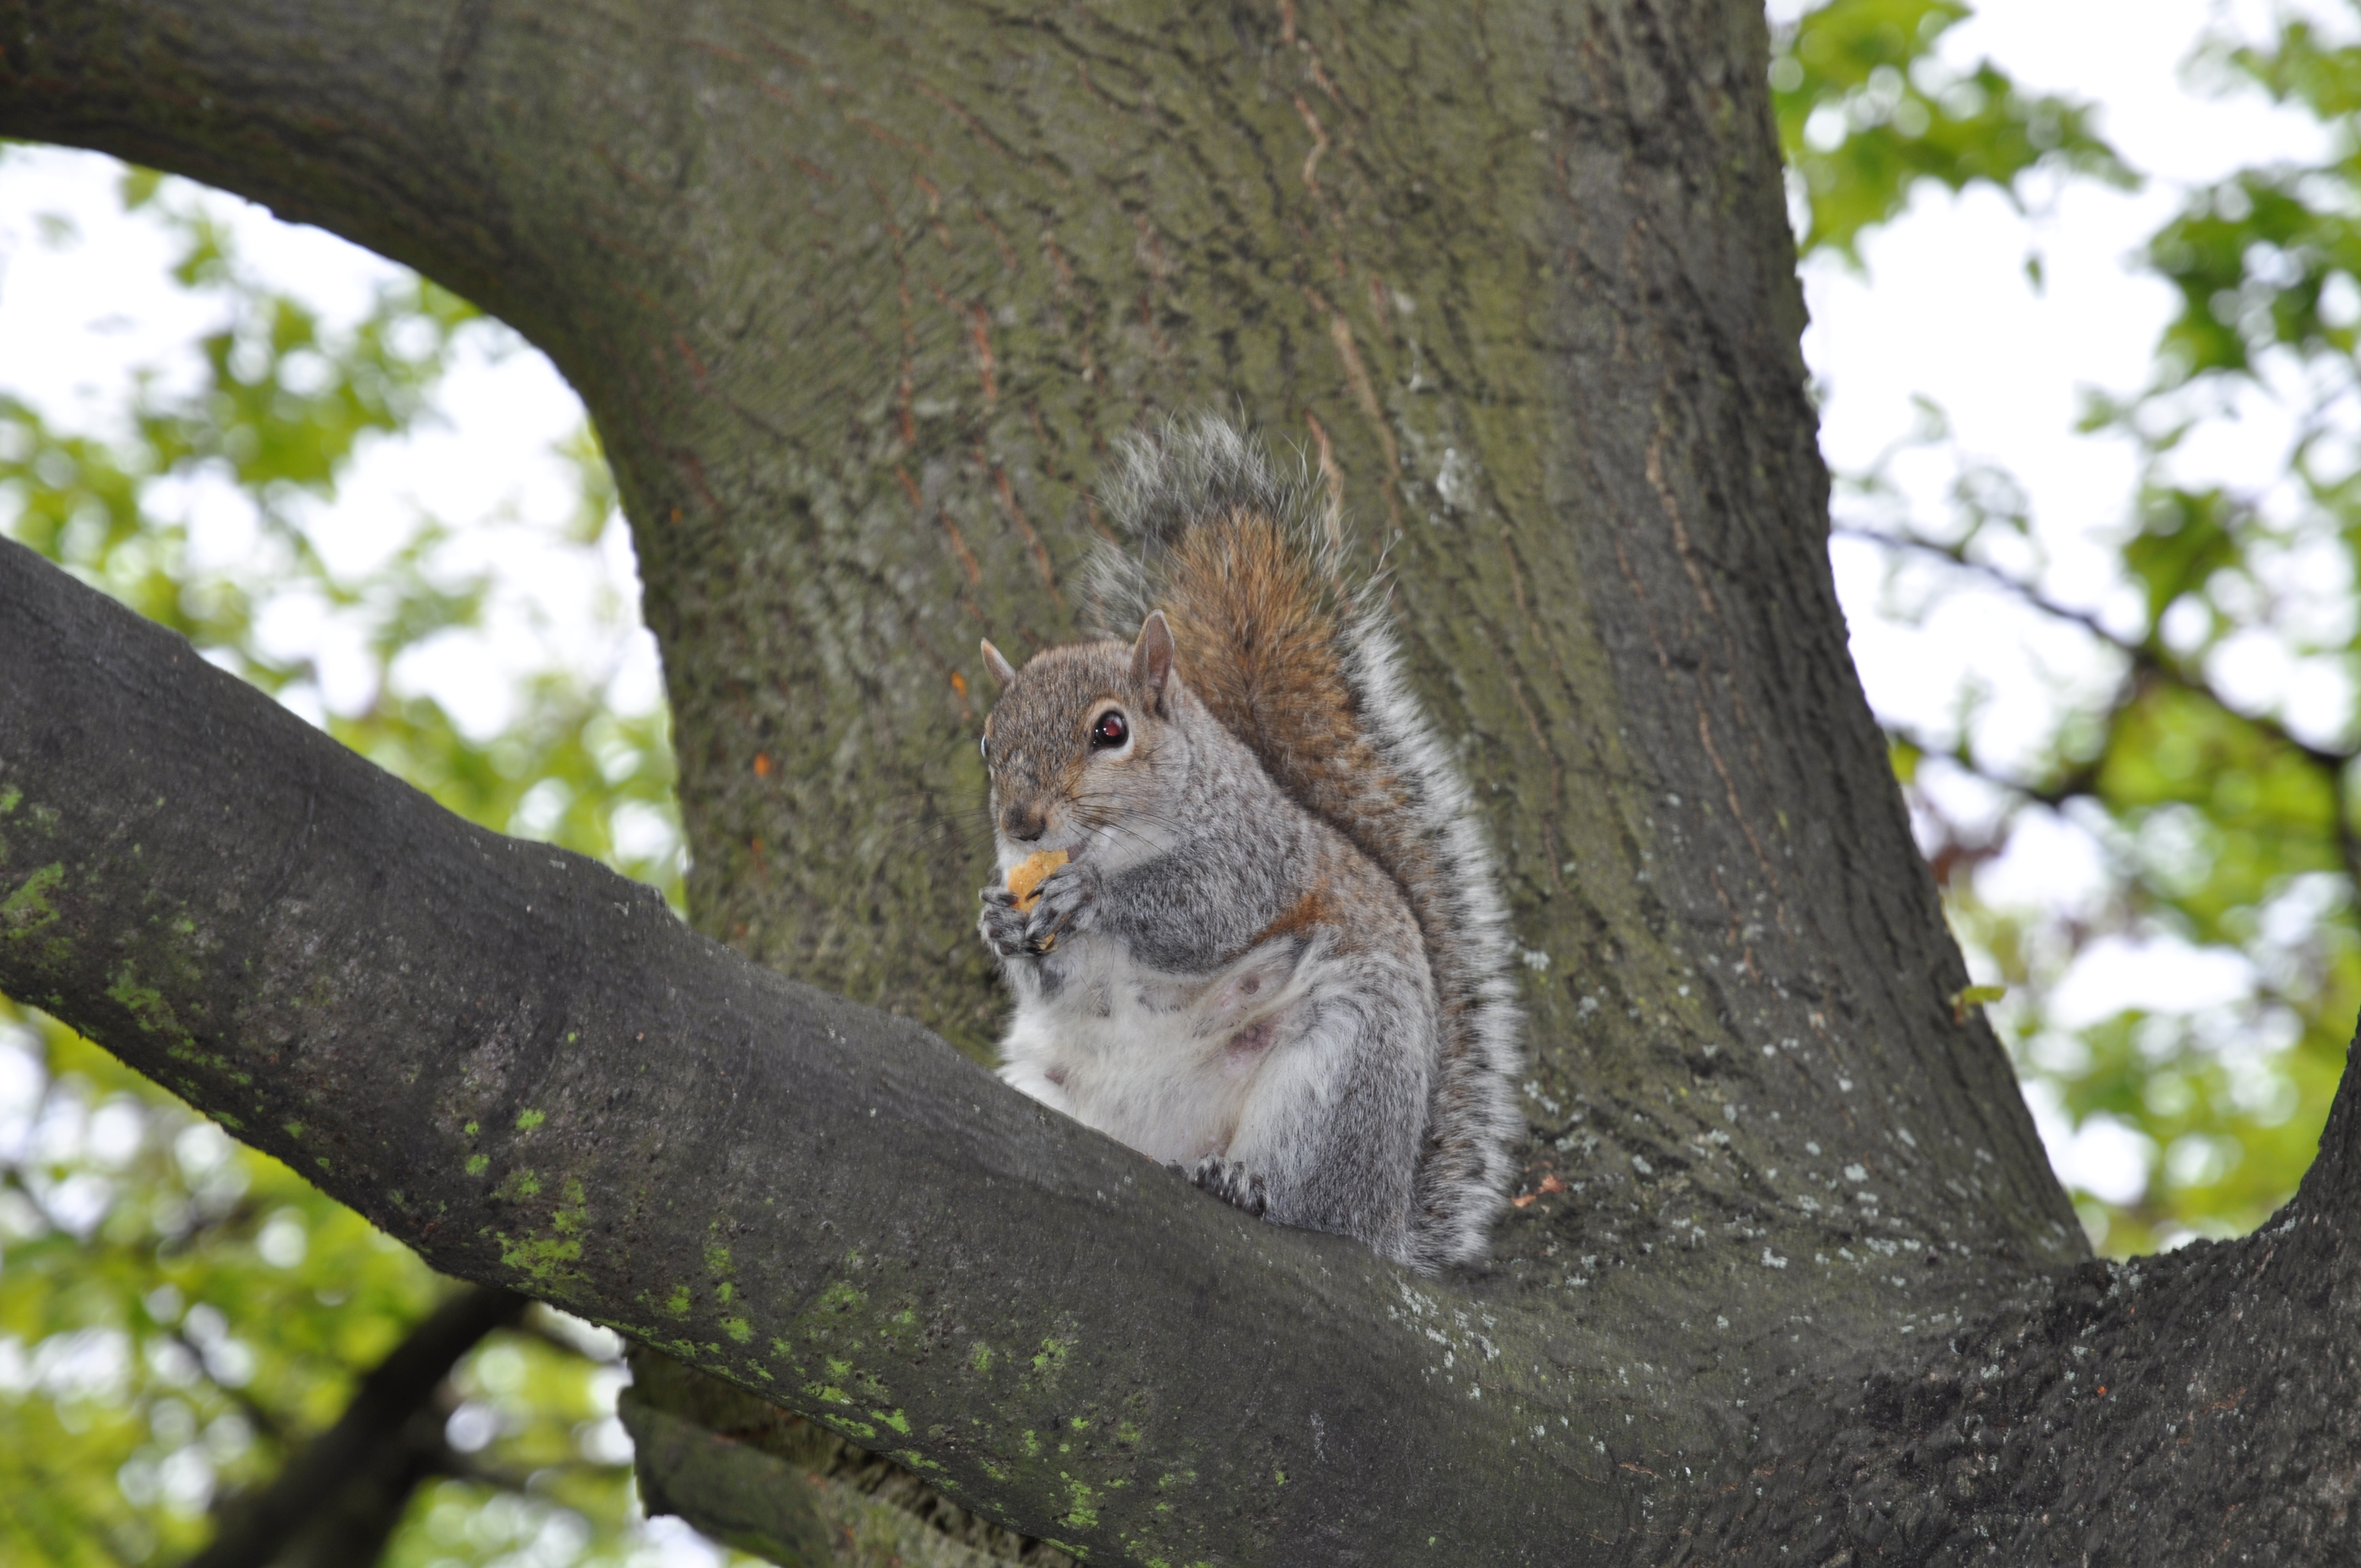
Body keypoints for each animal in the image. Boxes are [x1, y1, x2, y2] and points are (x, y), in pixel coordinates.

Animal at [974, 416, 1523, 1271]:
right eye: (987, 743)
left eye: (1111, 730)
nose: (1022, 823)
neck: (1116, 840)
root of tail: (1386, 1216)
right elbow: (1060, 983)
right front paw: (999, 922)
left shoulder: (1258, 858)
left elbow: (1204, 915)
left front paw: (1095, 897)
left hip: (1336, 1071)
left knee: (1308, 1197)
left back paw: (1244, 1183)